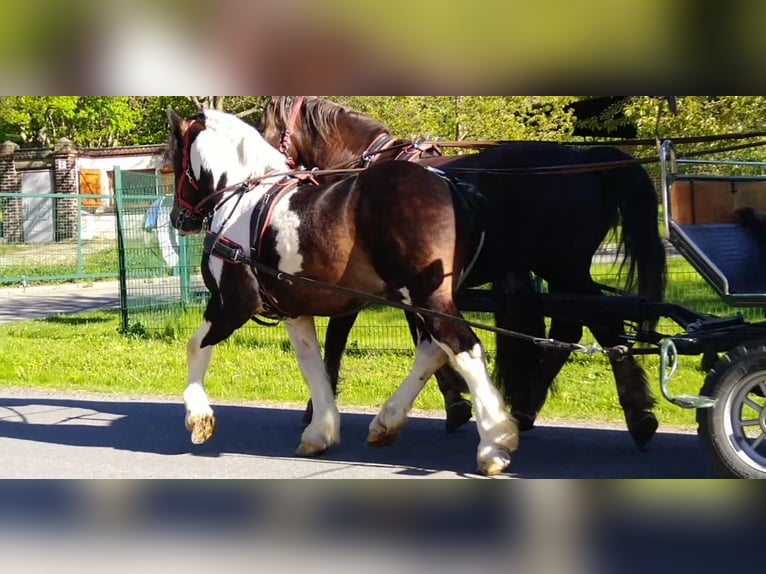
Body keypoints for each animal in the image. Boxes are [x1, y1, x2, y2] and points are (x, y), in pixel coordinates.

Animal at [164, 107, 518, 476]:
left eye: (175, 158)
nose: (179, 218)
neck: (246, 200)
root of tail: (454, 187)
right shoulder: (294, 310)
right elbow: (312, 363)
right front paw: (320, 431)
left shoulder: (231, 304)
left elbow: (195, 346)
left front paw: (198, 417)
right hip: (424, 300)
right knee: (434, 349)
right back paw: (388, 421)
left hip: (426, 297)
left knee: (463, 348)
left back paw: (494, 443)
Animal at [257, 96, 668, 448]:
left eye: (265, 126)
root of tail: (584, 158)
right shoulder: (413, 285)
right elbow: (423, 334)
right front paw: (455, 402)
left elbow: (339, 342)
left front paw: (317, 407)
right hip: (562, 270)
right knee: (578, 326)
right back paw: (536, 408)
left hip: (564, 268)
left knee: (598, 324)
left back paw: (633, 415)